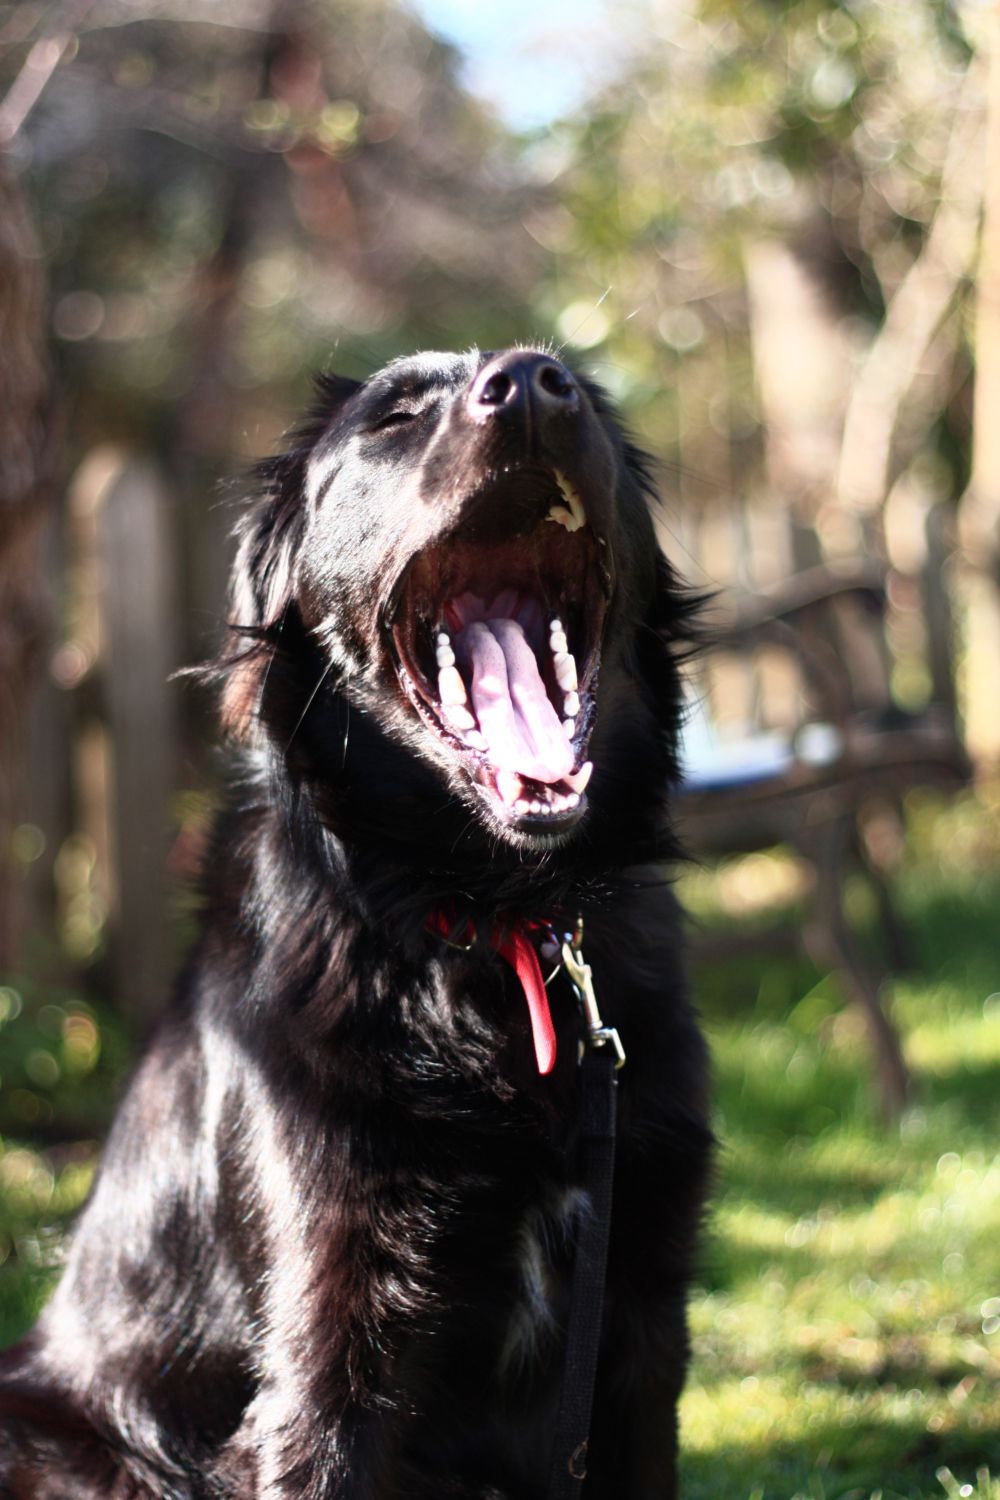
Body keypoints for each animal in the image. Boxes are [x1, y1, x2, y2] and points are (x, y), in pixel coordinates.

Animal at [0, 347, 712, 1498]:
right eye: (397, 416)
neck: (487, 921)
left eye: (589, 397)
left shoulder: (637, 1327)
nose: (530, 382)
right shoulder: (332, 1344)